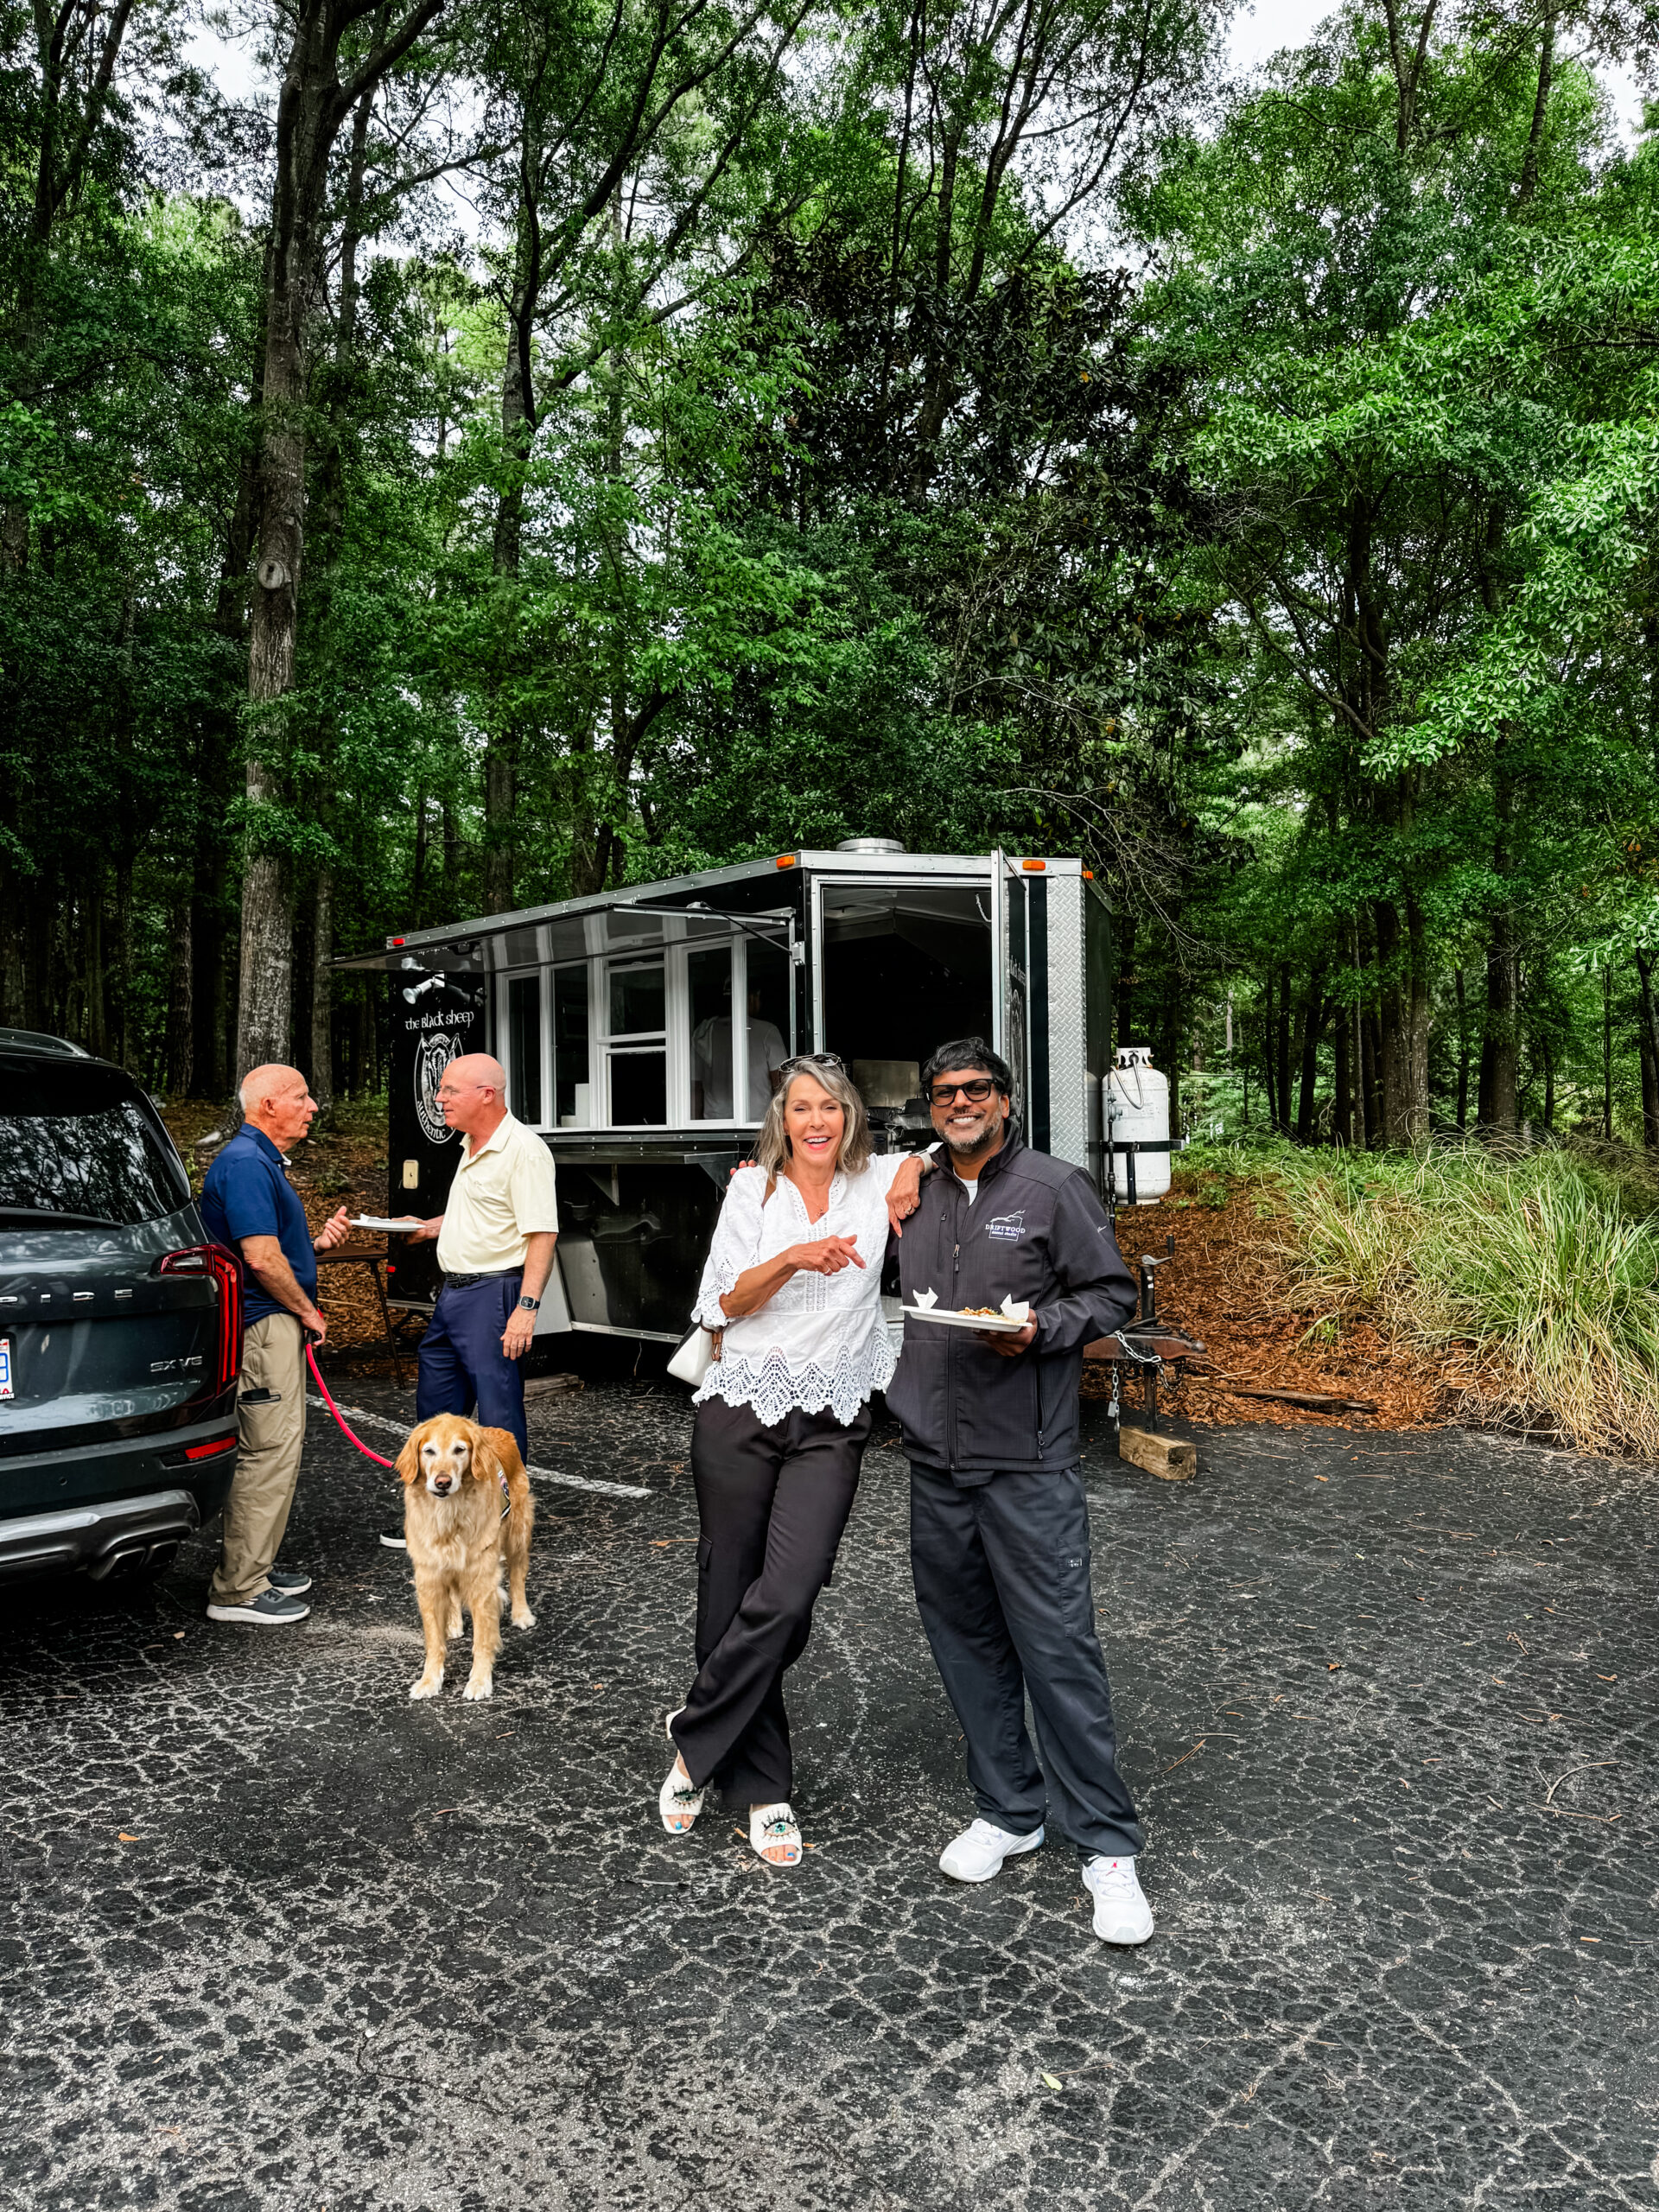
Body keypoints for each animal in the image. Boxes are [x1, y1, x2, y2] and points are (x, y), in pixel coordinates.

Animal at [395, 1415, 536, 1702]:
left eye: (460, 1450)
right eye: (429, 1451)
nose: (442, 1481)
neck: (449, 1515)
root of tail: (497, 1430)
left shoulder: (482, 1578)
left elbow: (482, 1639)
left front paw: (479, 1681)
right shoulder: (429, 1578)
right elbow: (434, 1641)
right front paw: (429, 1680)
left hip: (518, 1531)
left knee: (518, 1575)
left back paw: (522, 1614)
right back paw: (453, 1624)